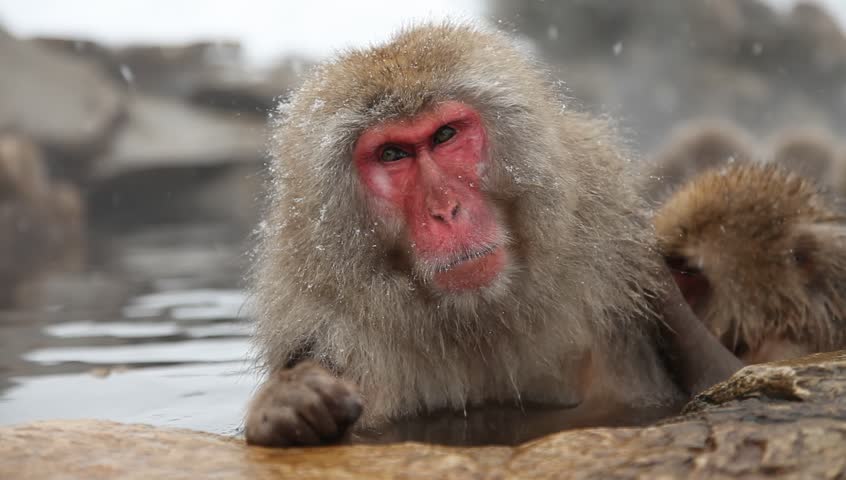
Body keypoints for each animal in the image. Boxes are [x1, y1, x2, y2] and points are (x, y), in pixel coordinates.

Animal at [246, 22, 742, 448]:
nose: (445, 210)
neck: (478, 318)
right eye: (392, 154)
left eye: (445, 135)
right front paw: (285, 405)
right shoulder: (325, 335)